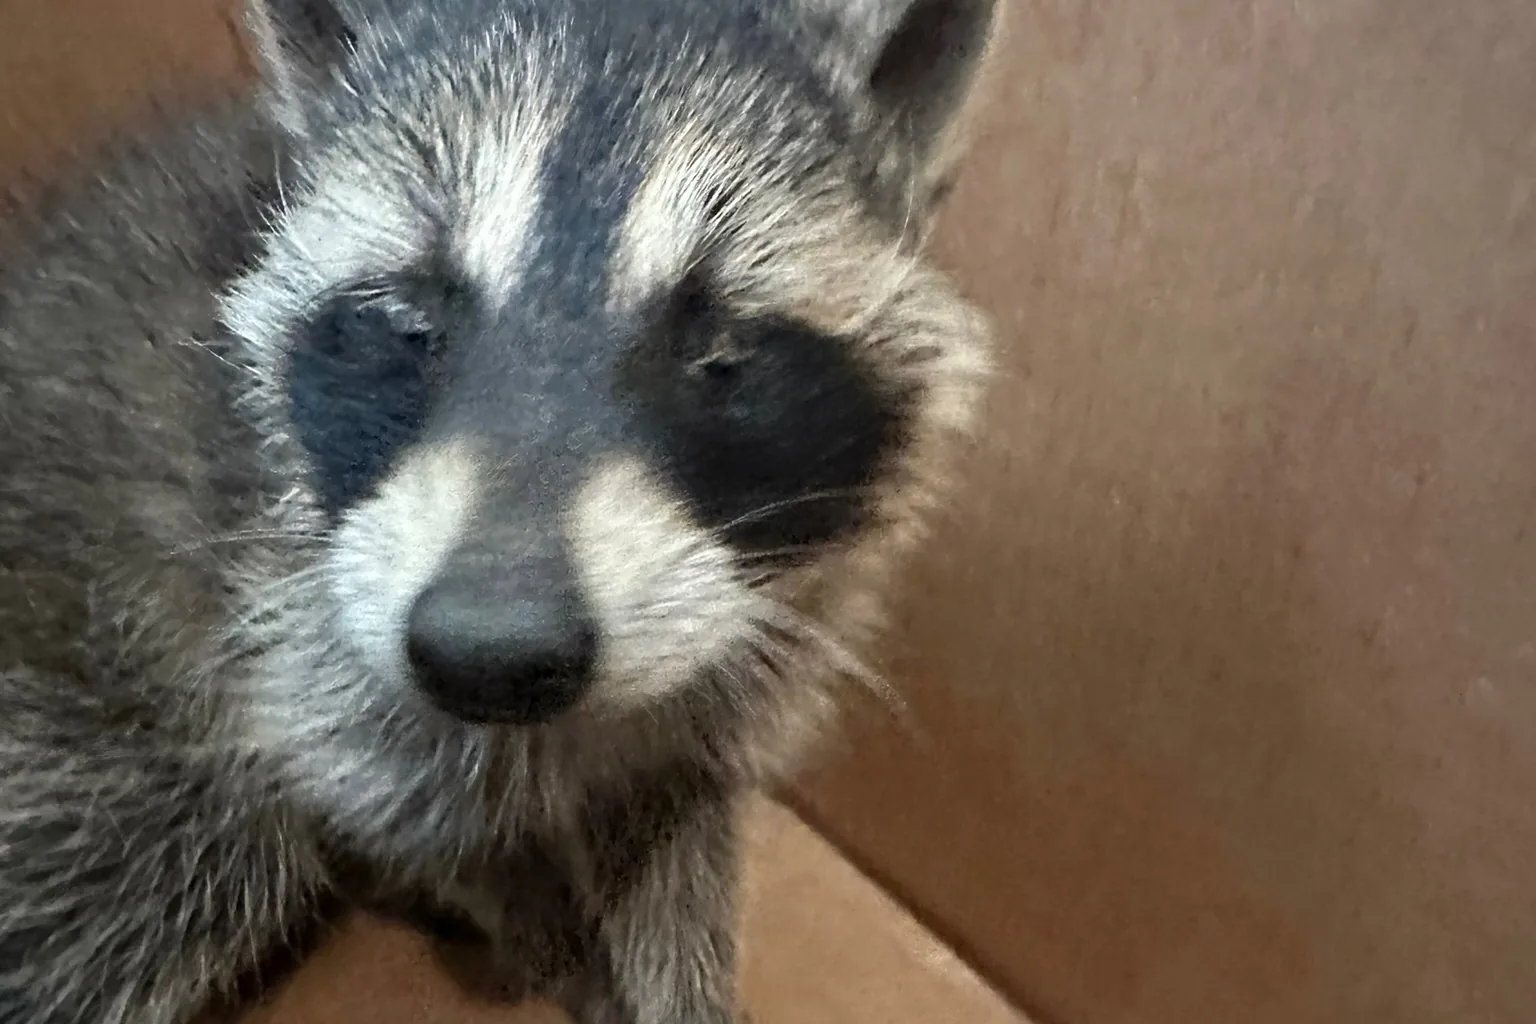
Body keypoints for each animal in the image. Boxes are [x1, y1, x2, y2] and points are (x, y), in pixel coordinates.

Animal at [0, 0, 996, 1021]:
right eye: (409, 321)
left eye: (722, 352)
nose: (492, 653)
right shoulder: (301, 617)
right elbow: (404, 806)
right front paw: (544, 933)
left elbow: (683, 809)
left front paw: (677, 978)